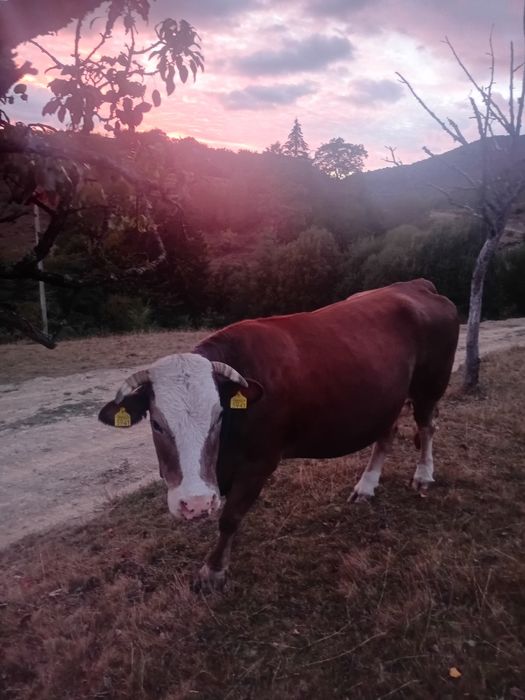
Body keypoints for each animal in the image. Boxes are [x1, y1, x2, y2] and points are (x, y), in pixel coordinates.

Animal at [99, 279, 459, 590]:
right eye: (157, 424)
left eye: (218, 417)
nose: (196, 503)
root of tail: (415, 284)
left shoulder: (260, 462)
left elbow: (230, 518)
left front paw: (213, 571)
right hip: (387, 398)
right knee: (387, 432)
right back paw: (366, 486)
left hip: (430, 385)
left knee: (427, 426)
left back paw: (423, 475)